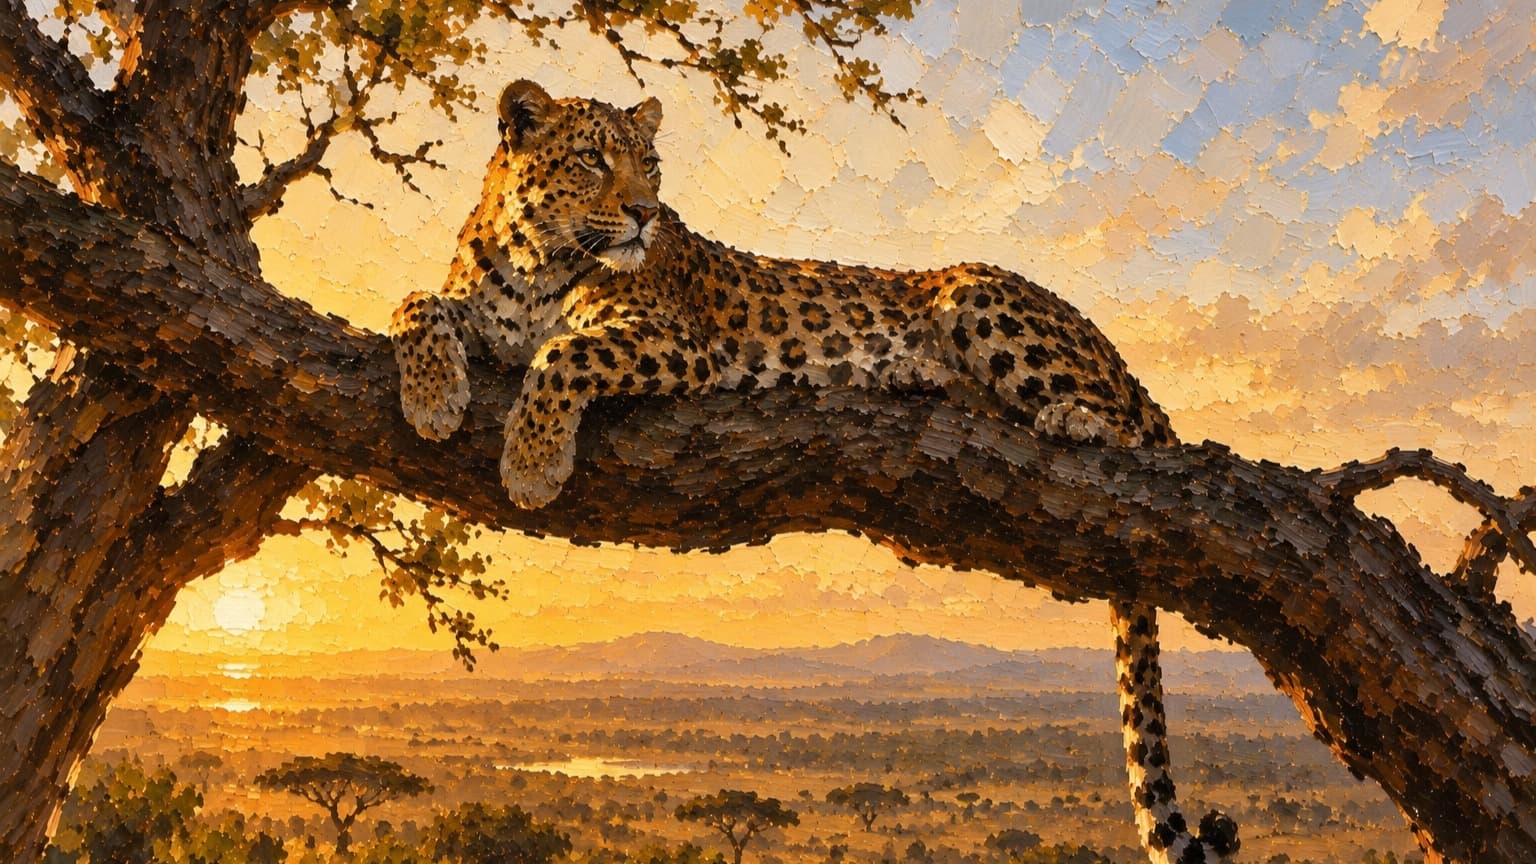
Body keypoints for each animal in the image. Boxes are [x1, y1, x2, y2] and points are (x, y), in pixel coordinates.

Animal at [390, 79, 1238, 864]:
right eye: (593, 159)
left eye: (650, 165)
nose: (644, 214)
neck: (531, 263)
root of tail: (1112, 350)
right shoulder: (480, 314)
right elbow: (415, 303)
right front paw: (431, 396)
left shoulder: (674, 343)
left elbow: (564, 353)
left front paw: (532, 462)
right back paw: (917, 379)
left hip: (984, 300)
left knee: (1129, 429)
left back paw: (1068, 417)